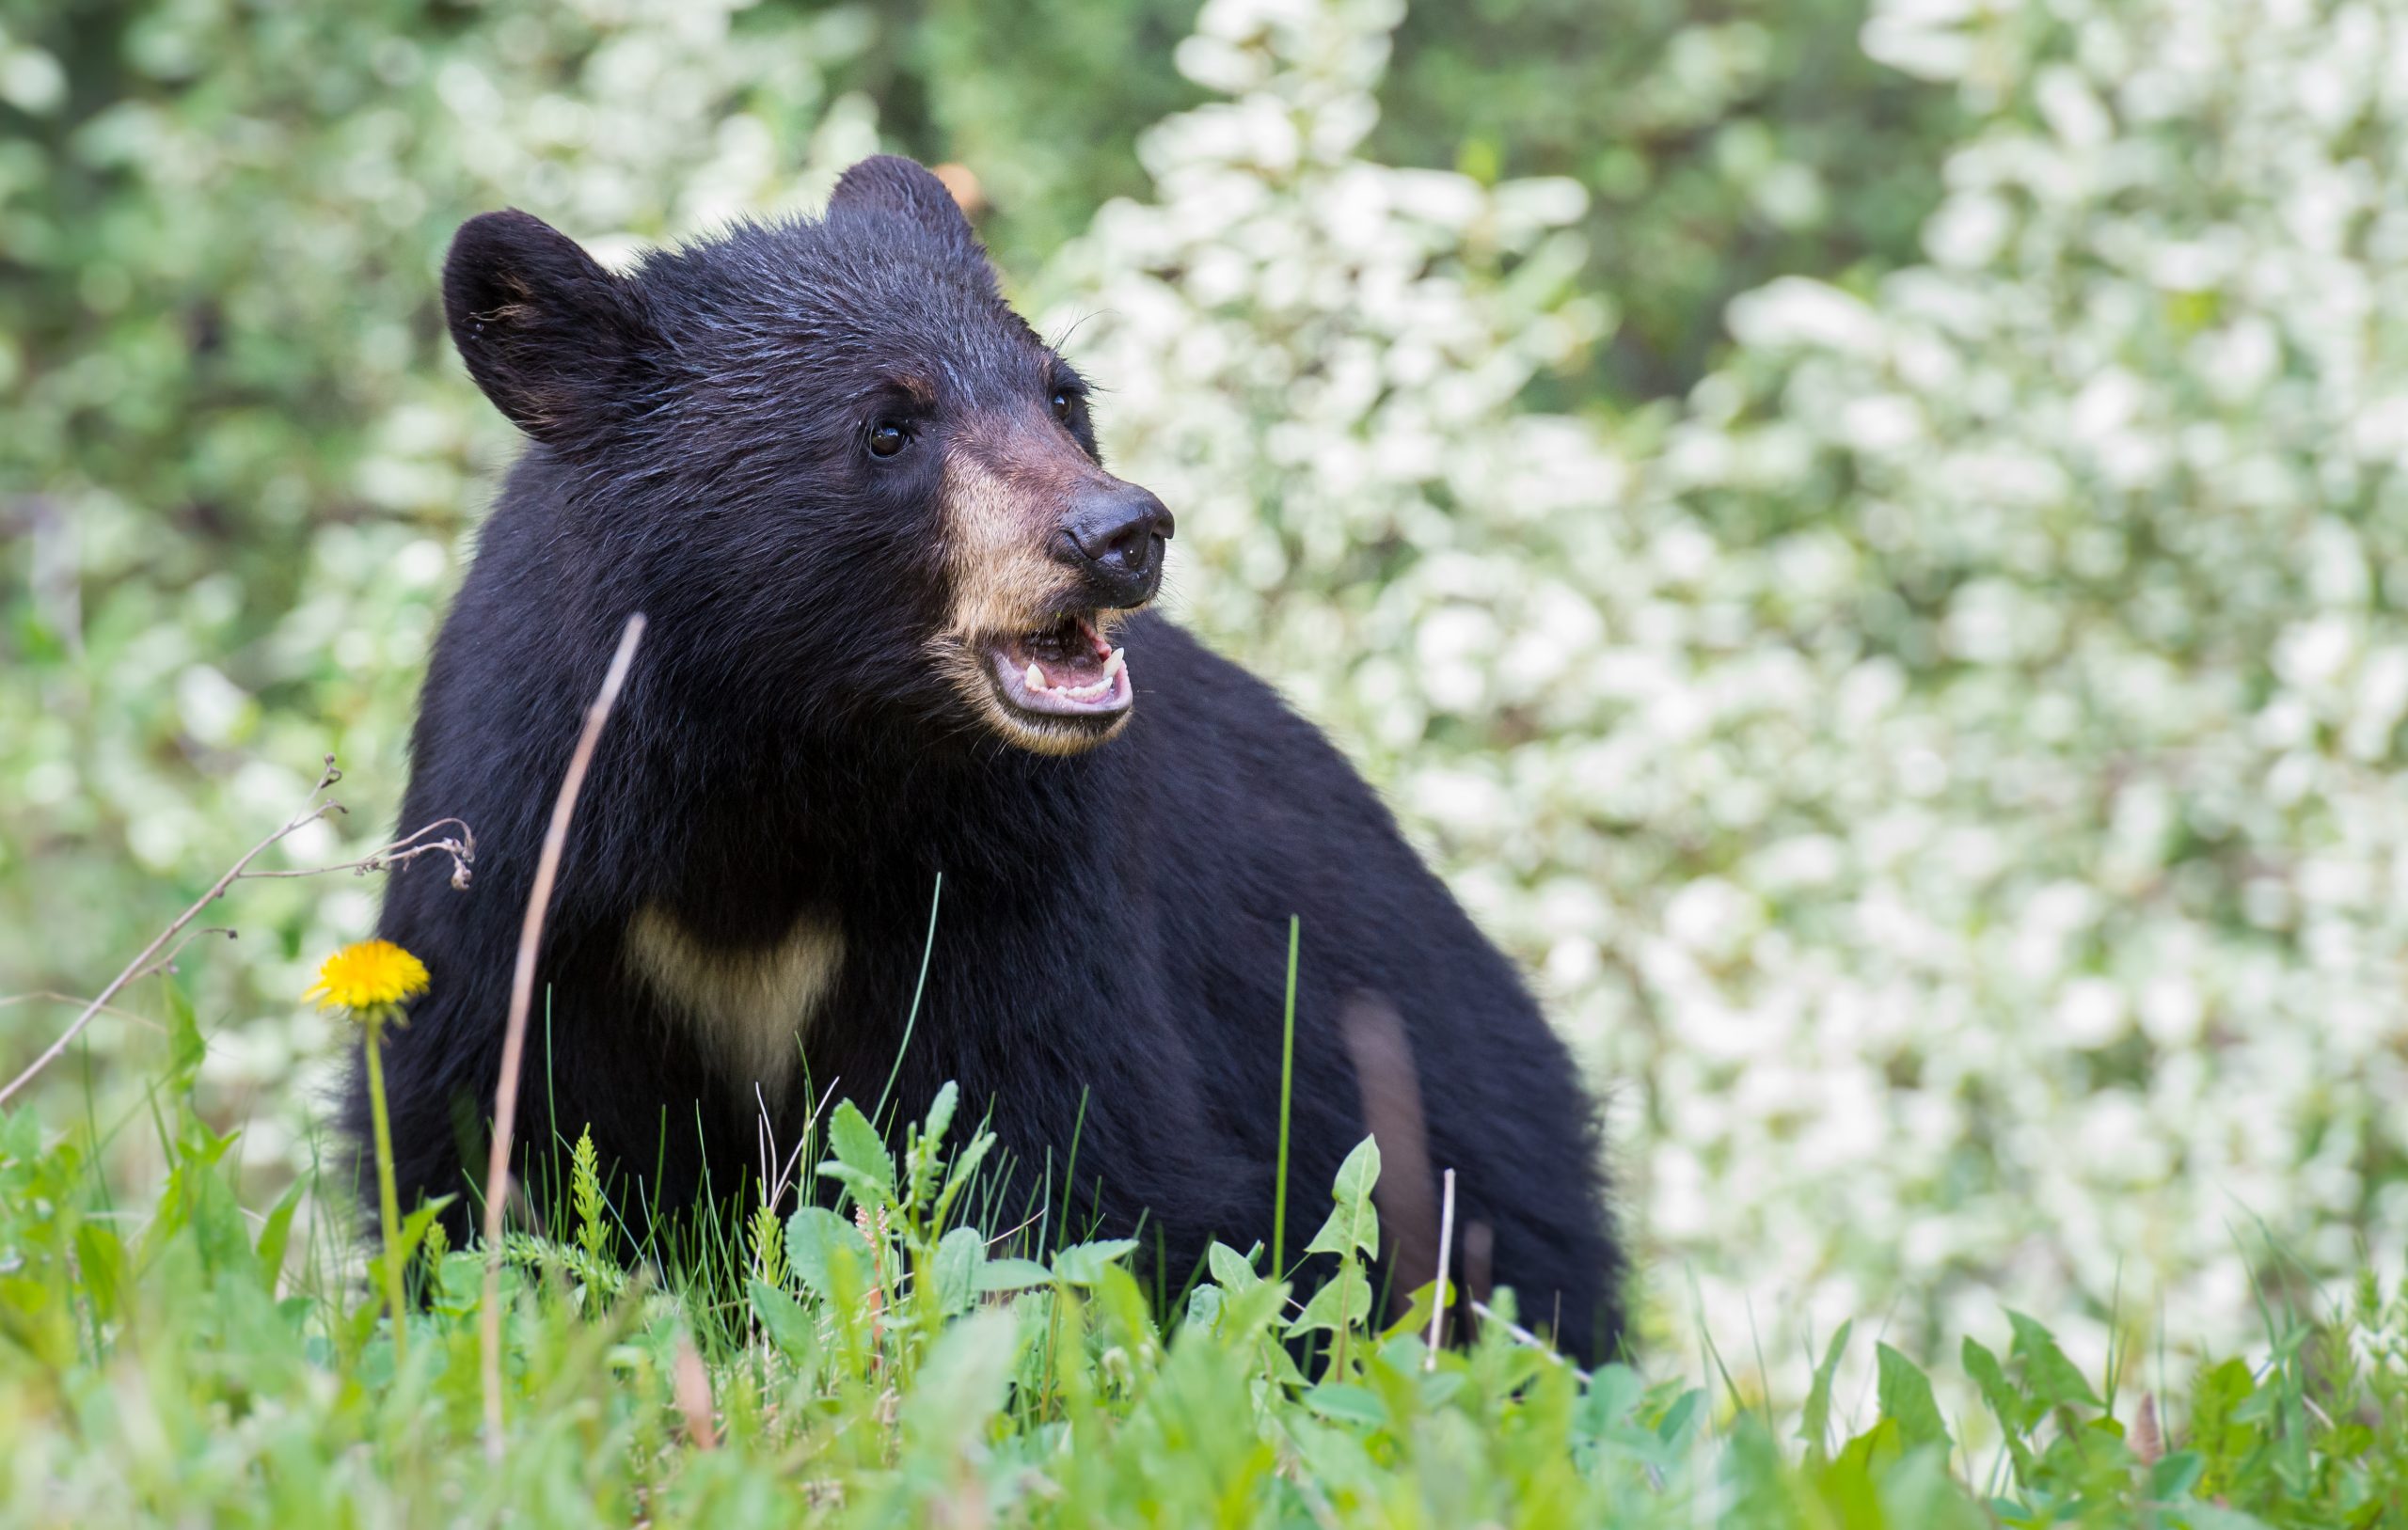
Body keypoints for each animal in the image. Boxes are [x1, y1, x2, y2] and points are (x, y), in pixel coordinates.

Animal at [352, 155, 1623, 1361]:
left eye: (1064, 396)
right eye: (887, 427)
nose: (1119, 534)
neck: (780, 756)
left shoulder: (1011, 873)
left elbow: (1056, 1150)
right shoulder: (535, 852)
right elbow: (478, 1137)